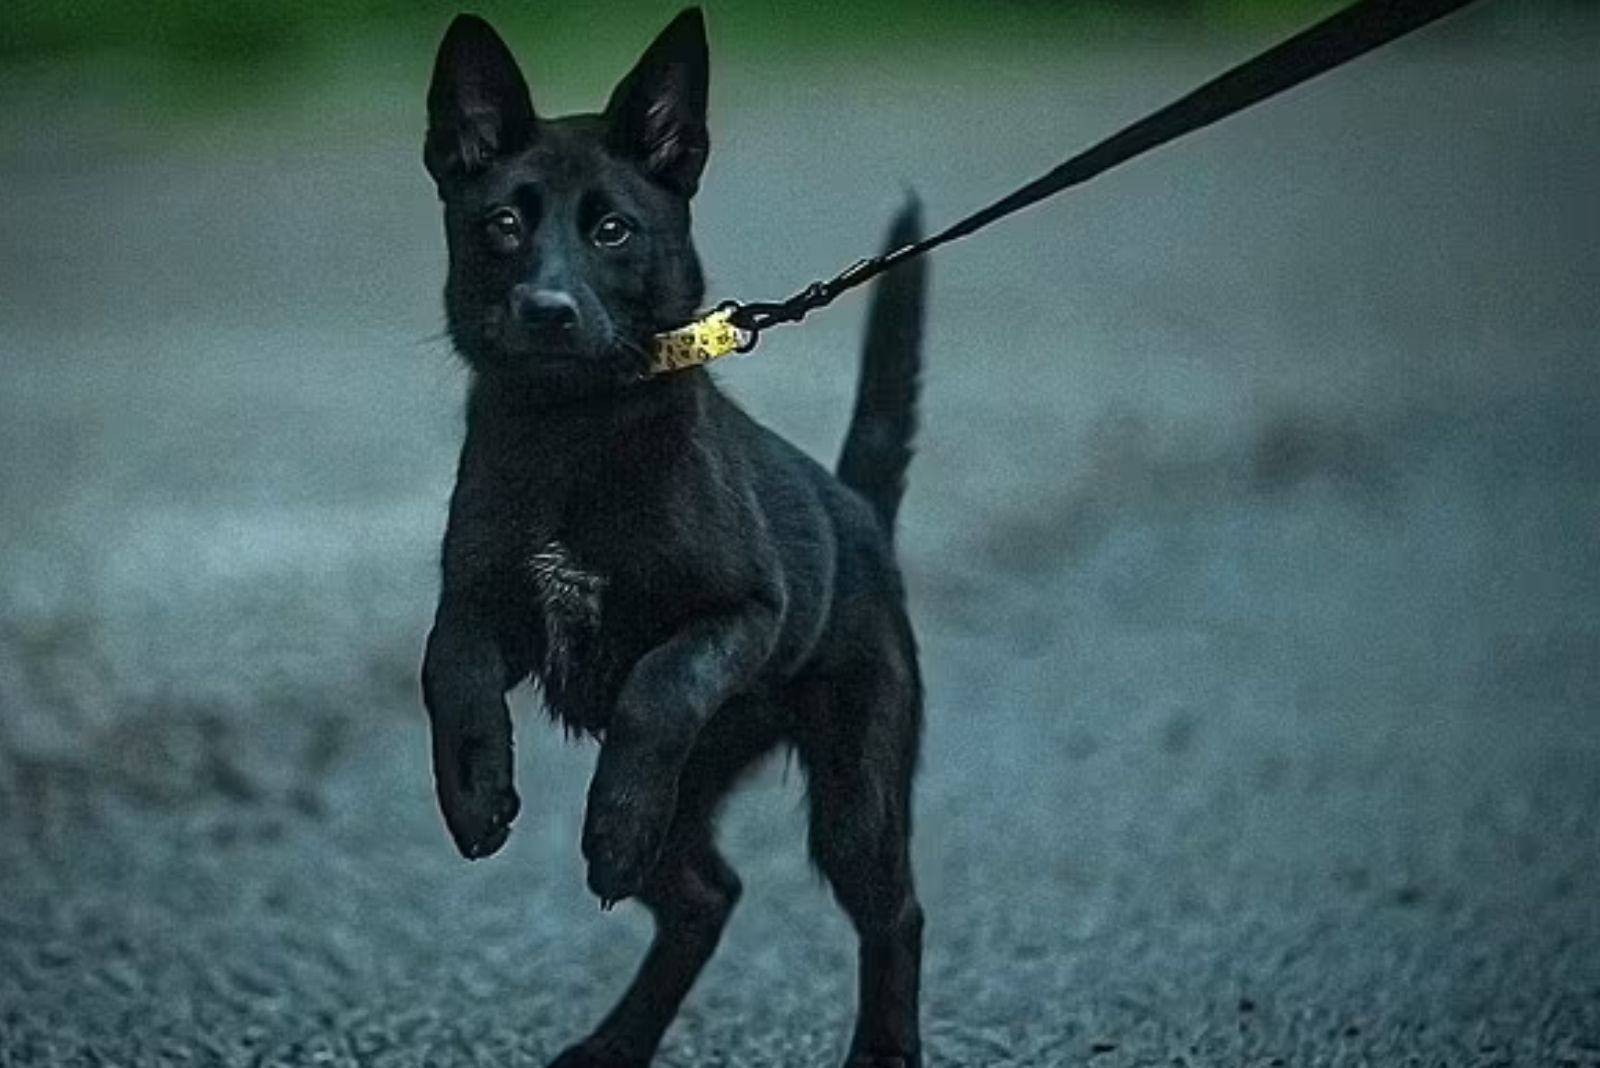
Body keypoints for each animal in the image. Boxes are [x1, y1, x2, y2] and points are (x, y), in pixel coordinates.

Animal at [422, 10, 928, 1068]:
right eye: (503, 224)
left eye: (612, 229)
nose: (548, 312)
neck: (574, 432)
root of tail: (860, 512)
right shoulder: (481, 600)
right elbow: (448, 667)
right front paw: (475, 788)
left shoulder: (743, 613)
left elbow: (660, 686)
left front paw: (610, 826)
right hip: (695, 797)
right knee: (706, 895)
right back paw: (615, 1041)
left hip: (854, 792)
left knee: (892, 913)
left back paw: (880, 1048)